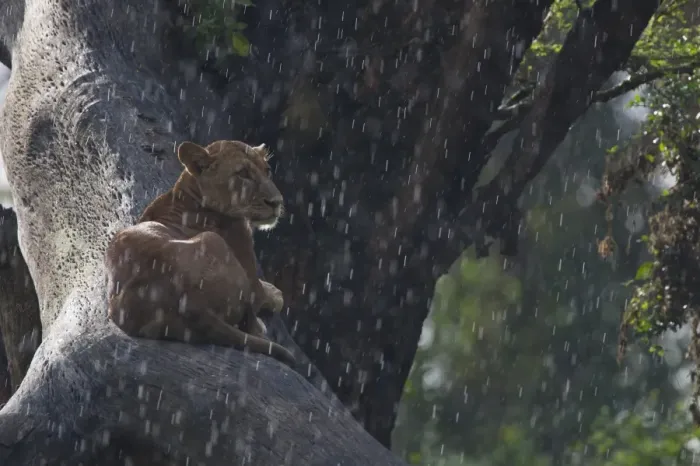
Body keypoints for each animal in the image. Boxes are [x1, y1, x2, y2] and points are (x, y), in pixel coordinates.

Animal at [105, 140, 295, 366]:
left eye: (267, 170)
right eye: (243, 174)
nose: (276, 202)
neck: (184, 192)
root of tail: (191, 306)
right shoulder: (249, 268)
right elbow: (264, 293)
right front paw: (276, 293)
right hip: (212, 240)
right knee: (251, 324)